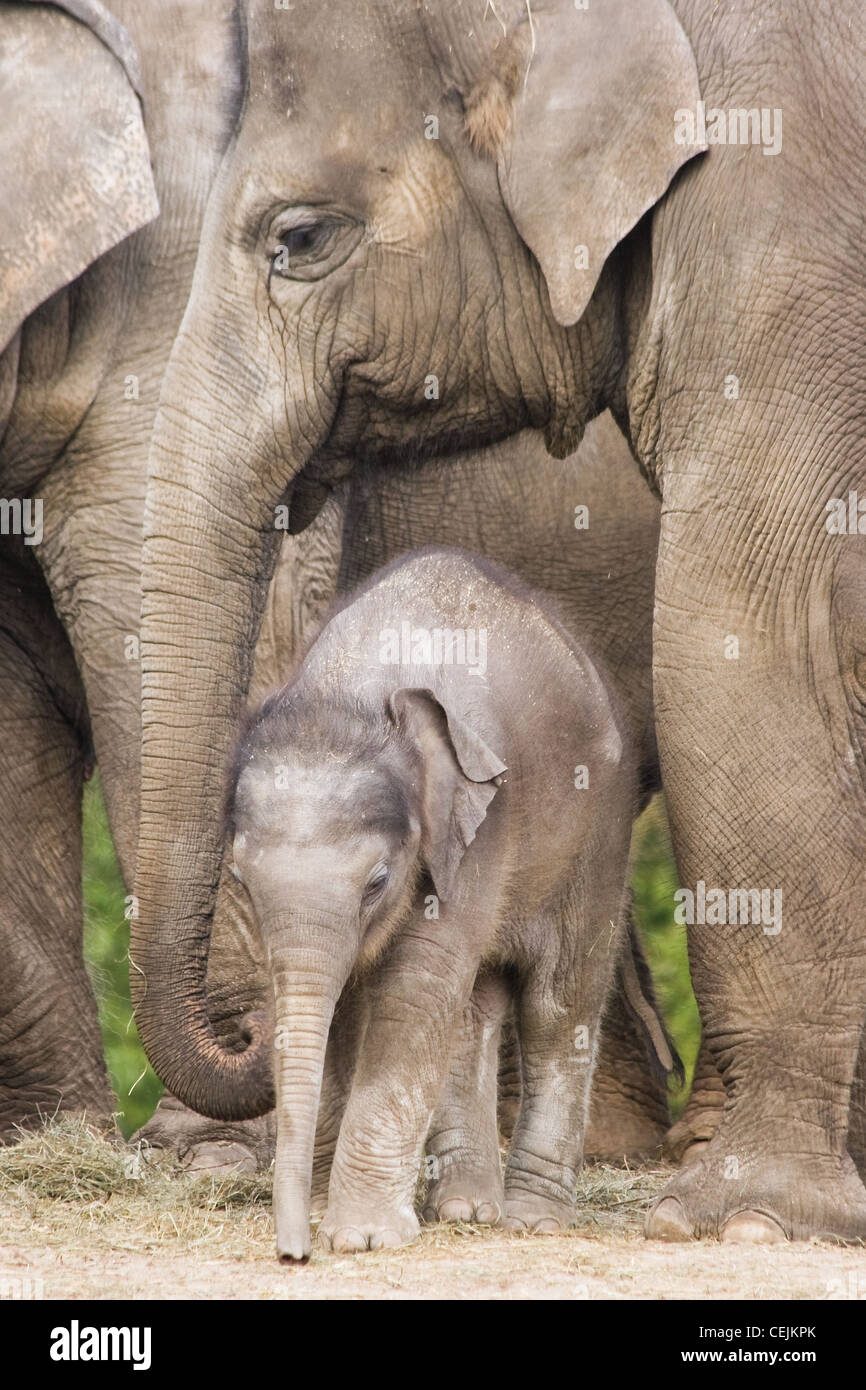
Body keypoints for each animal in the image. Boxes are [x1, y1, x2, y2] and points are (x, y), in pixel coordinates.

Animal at [230, 544, 636, 1262]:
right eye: (241, 884)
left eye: (378, 881)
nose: (292, 1254)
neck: (351, 689)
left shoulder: (478, 826)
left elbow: (412, 990)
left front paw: (361, 1238)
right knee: (473, 1008)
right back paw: (467, 1209)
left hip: (599, 831)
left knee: (558, 1003)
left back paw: (532, 1221)